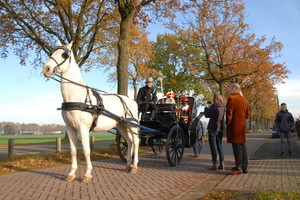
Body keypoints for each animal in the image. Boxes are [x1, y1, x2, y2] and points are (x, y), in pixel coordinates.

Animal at [42, 41, 139, 182]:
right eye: (52, 52)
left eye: (64, 54)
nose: (47, 68)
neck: (77, 97)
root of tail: (132, 100)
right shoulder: (70, 128)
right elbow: (73, 151)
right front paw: (71, 173)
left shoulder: (83, 128)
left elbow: (86, 150)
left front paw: (87, 174)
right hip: (122, 126)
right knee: (129, 142)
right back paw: (128, 165)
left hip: (132, 125)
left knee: (136, 142)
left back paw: (134, 166)